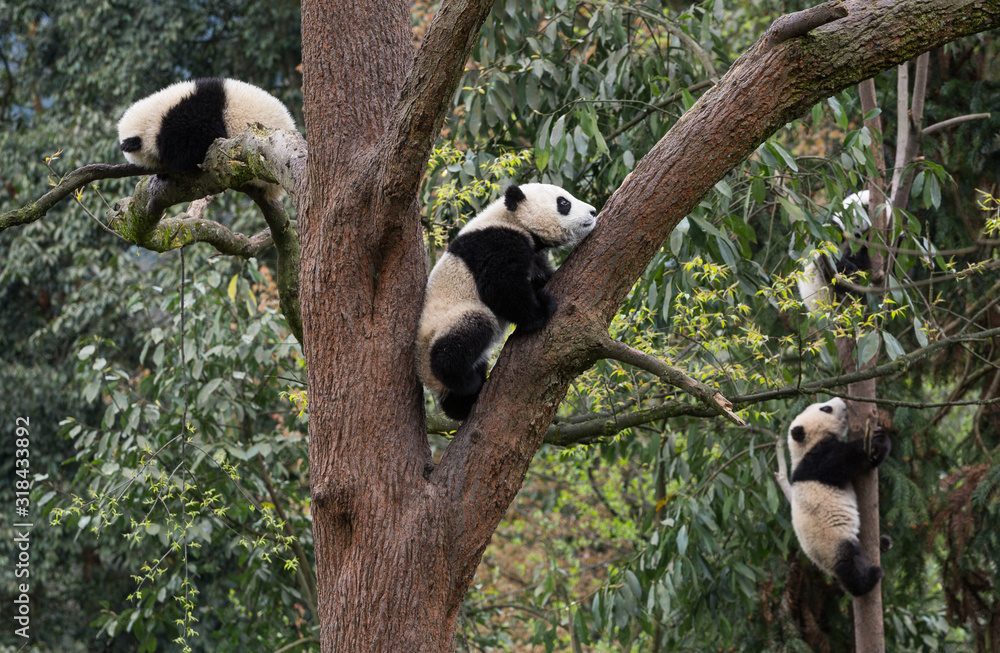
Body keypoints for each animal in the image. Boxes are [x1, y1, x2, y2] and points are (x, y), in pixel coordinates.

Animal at [416, 183, 598, 420]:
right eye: (564, 202)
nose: (593, 212)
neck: (512, 219)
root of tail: (425, 375)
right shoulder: (495, 242)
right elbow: (500, 286)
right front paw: (541, 311)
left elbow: (538, 275)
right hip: (447, 319)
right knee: (464, 335)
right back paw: (465, 380)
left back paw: (463, 404)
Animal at [787, 397, 892, 597]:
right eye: (826, 408)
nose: (841, 400)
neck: (804, 447)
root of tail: (823, 567)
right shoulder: (816, 462)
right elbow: (841, 460)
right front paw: (871, 441)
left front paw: (881, 437)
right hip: (831, 542)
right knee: (849, 564)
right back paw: (868, 579)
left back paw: (883, 543)